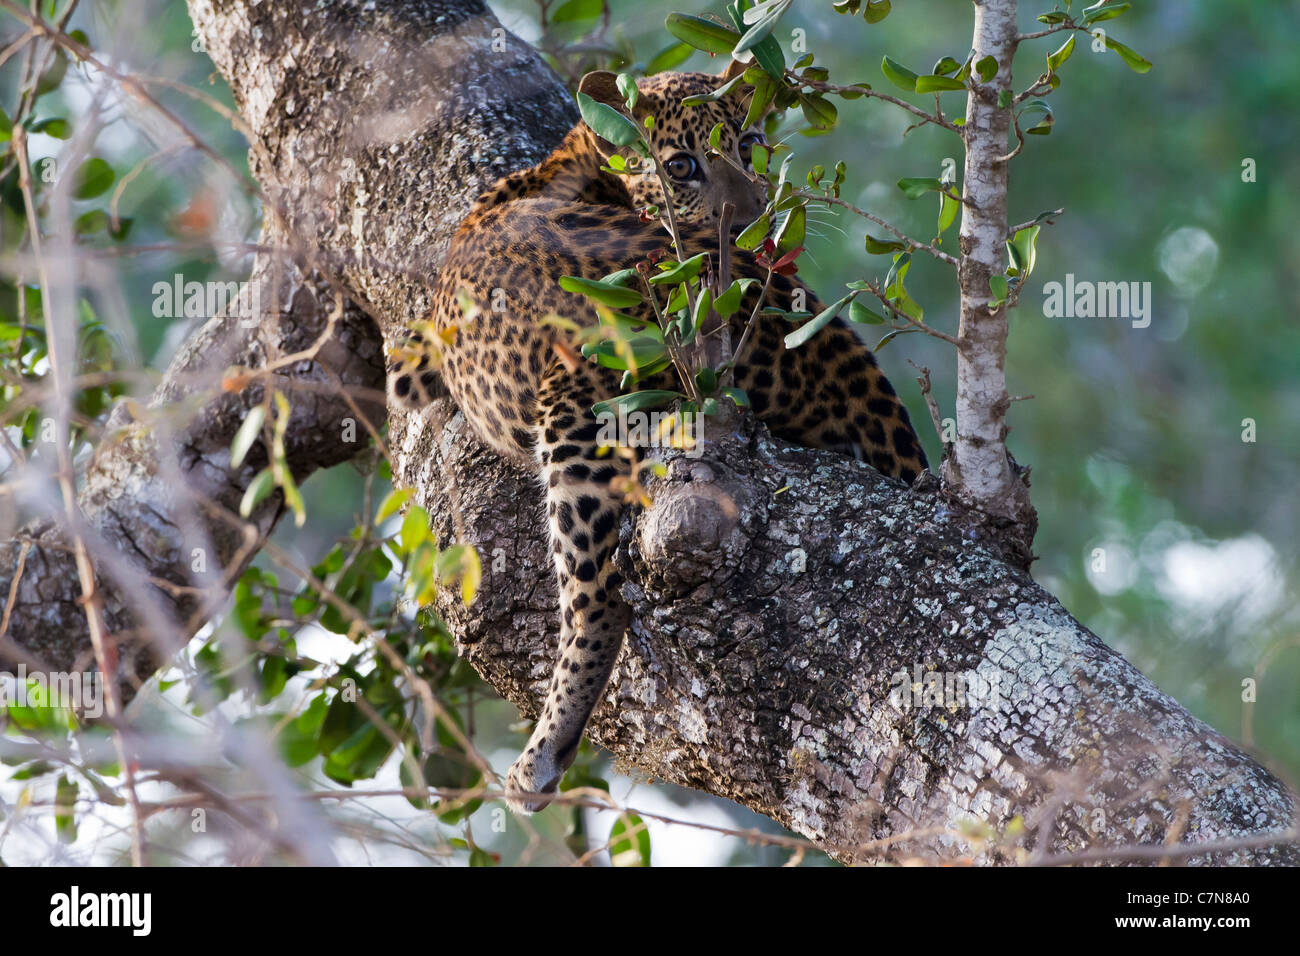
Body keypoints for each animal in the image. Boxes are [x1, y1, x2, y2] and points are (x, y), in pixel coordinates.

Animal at [390, 59, 930, 811]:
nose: (749, 222)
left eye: (751, 145)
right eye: (681, 165)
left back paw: (543, 754)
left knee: (600, 601)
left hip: (575, 412)